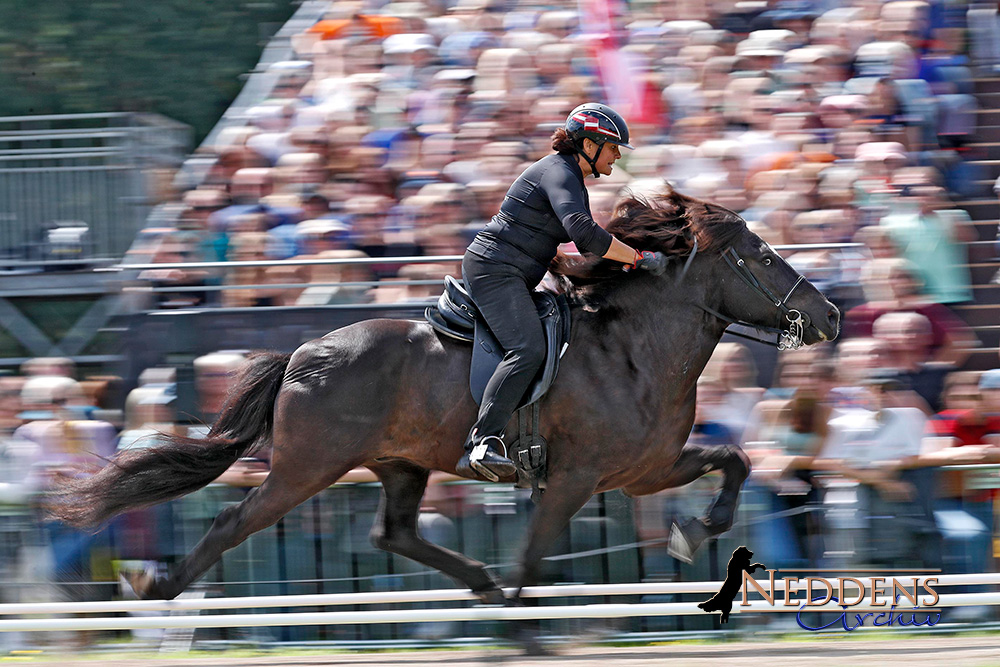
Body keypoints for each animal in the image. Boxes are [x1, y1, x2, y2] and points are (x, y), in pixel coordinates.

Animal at [50, 189, 840, 604]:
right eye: (764, 255)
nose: (831, 315)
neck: (634, 347)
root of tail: (301, 354)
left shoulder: (643, 469)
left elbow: (735, 460)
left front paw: (691, 533)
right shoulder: (577, 478)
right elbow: (535, 551)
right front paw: (525, 614)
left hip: (400, 463)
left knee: (392, 533)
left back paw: (480, 582)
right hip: (307, 467)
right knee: (234, 520)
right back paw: (159, 585)